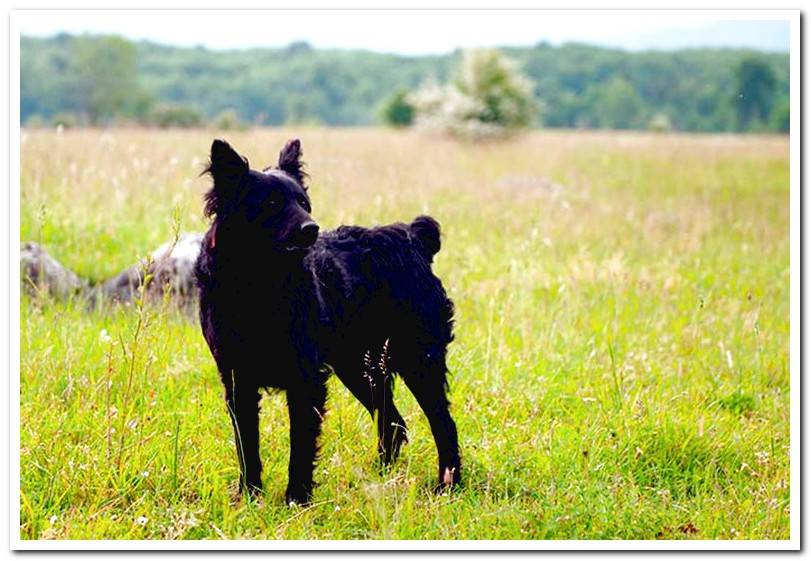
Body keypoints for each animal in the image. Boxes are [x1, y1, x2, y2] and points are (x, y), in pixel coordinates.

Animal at [193, 139, 460, 504]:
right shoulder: (237, 380)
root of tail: (412, 237)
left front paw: (296, 498)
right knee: (393, 424)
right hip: (361, 368)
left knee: (443, 424)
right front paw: (249, 495)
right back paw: (380, 479)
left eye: (304, 203)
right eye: (272, 203)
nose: (312, 228)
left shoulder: (305, 379)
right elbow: (247, 445)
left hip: (418, 360)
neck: (259, 284)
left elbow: (301, 445)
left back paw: (448, 485)